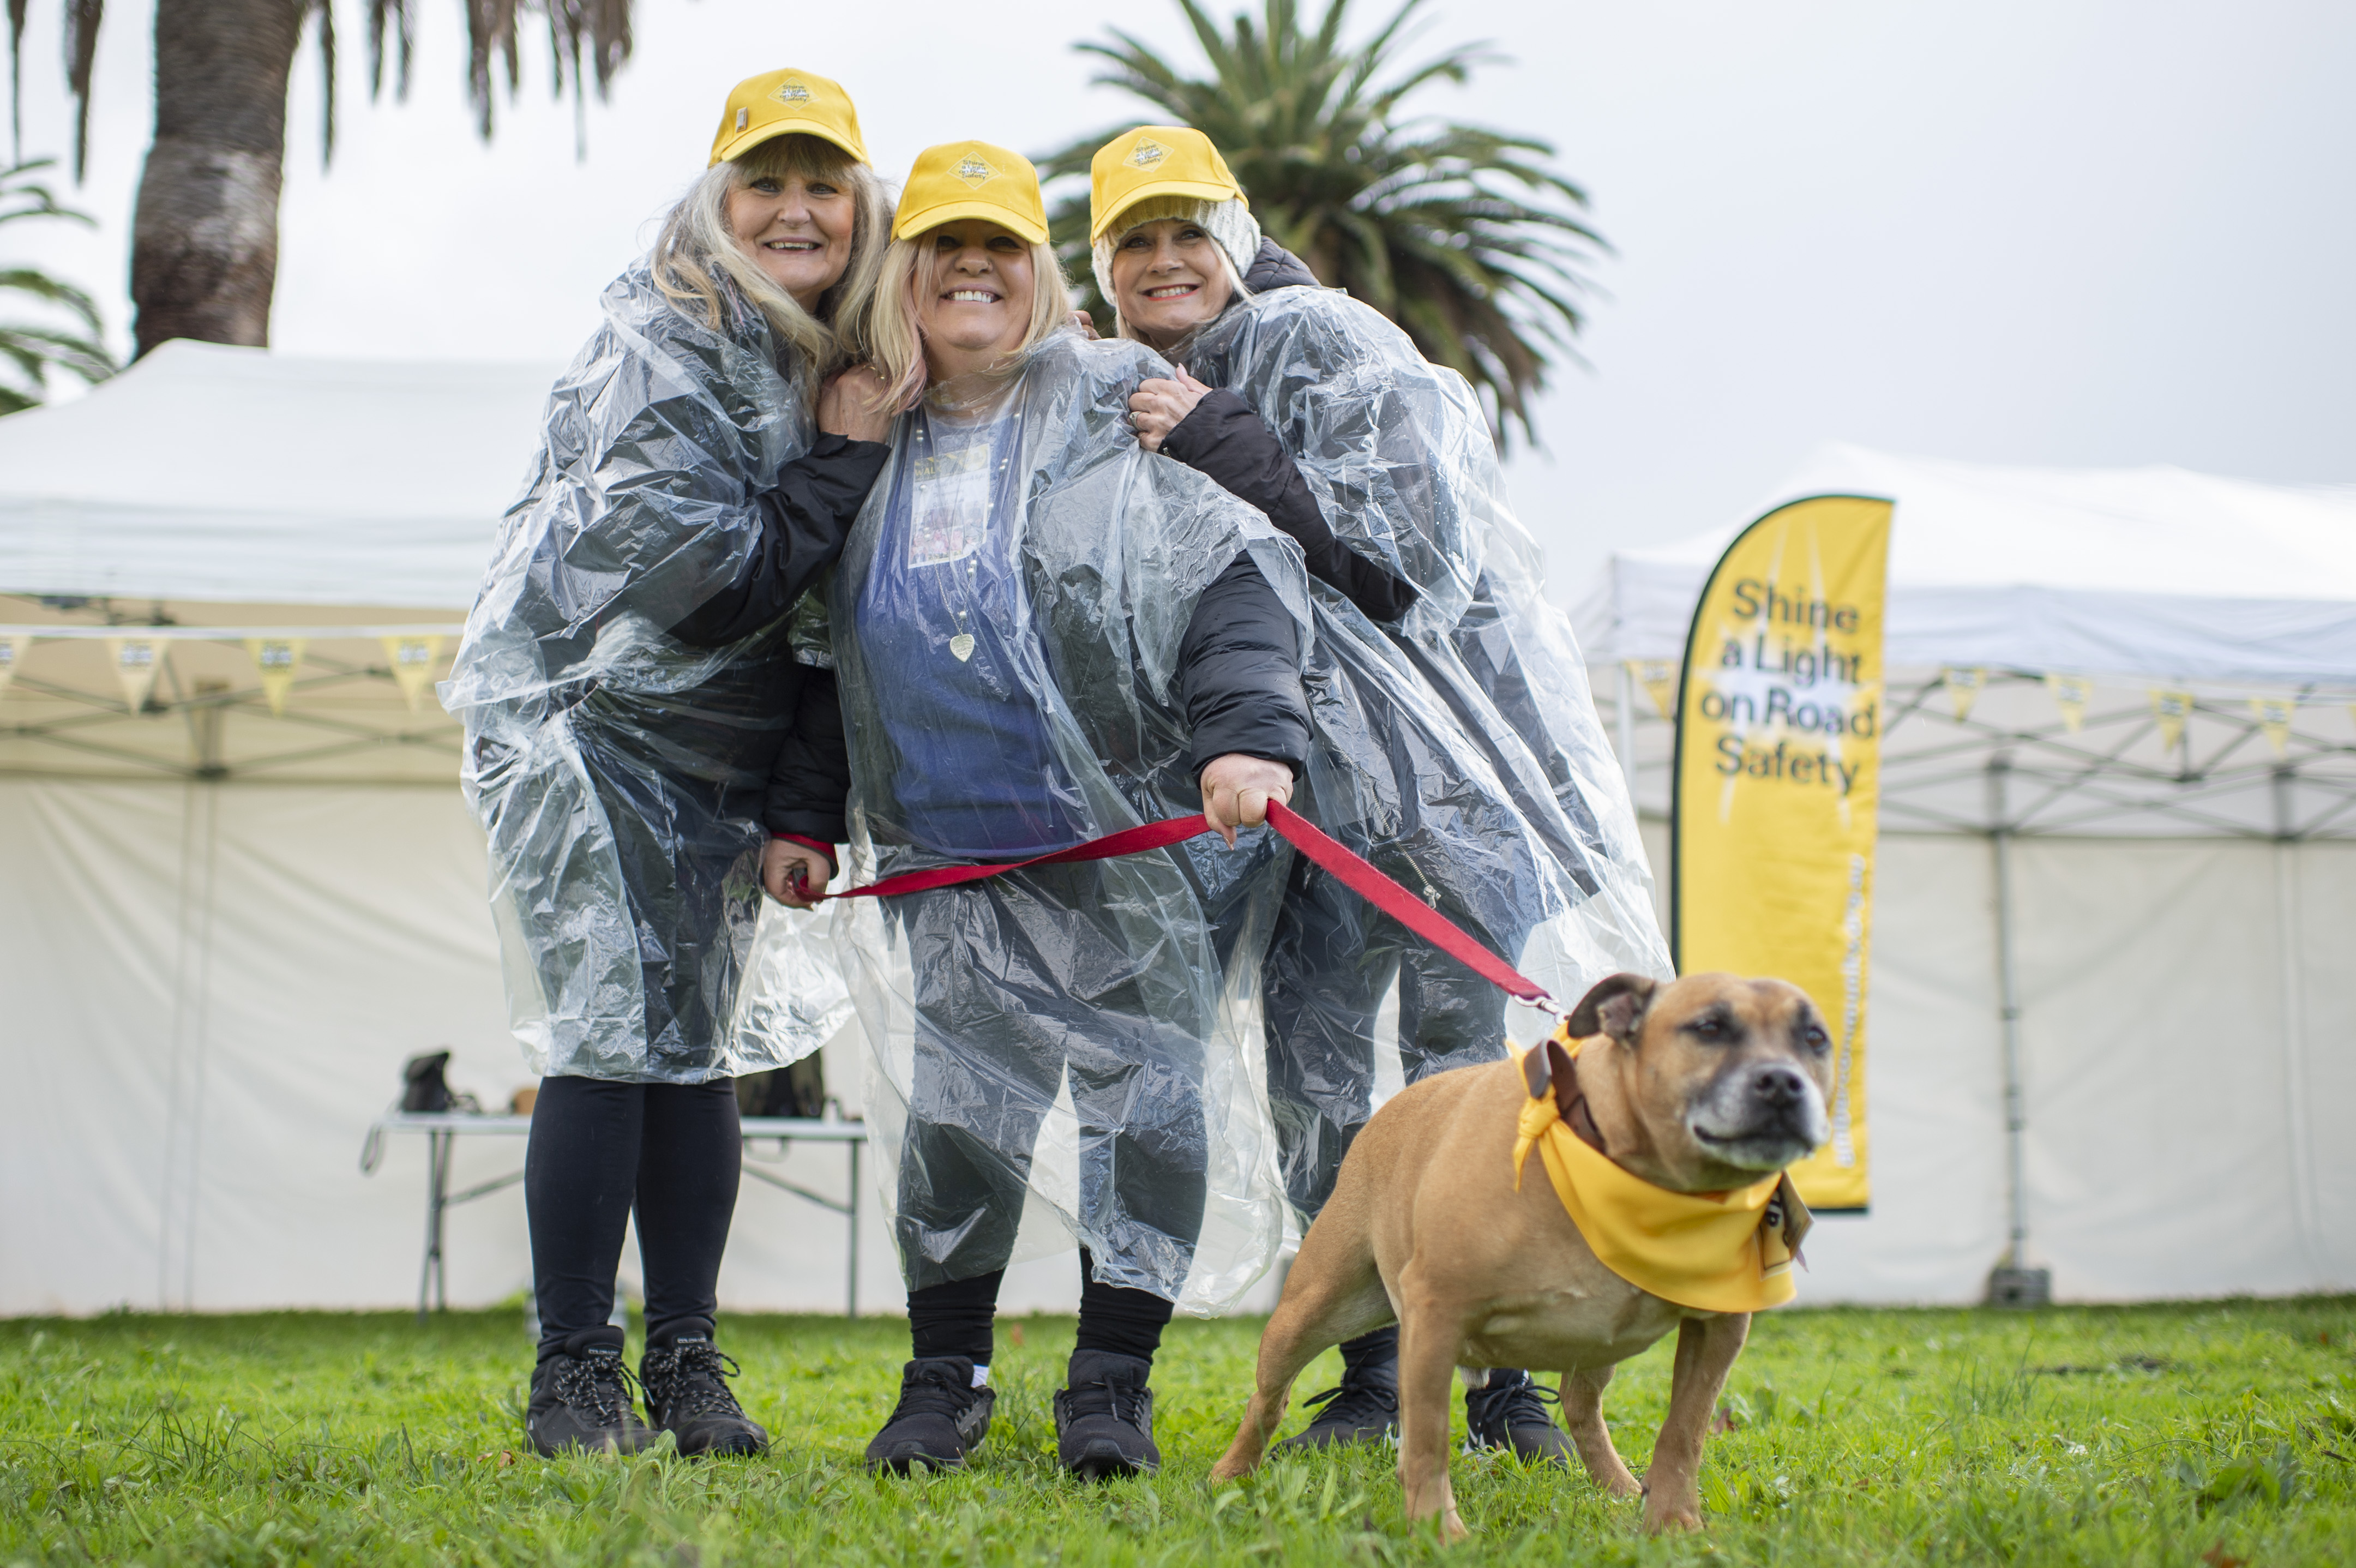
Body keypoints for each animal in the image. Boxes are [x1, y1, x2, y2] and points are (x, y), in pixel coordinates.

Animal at [1216, 970, 1837, 1535]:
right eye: (1709, 1027)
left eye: (1815, 1038)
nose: (1783, 1083)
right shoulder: (1435, 1317)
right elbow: (1427, 1440)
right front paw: (1437, 1531)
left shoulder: (1718, 1331)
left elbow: (1683, 1431)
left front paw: (1673, 1524)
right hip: (1313, 1310)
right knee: (1268, 1398)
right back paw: (1231, 1471)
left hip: (1595, 1346)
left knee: (1582, 1408)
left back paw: (1618, 1485)